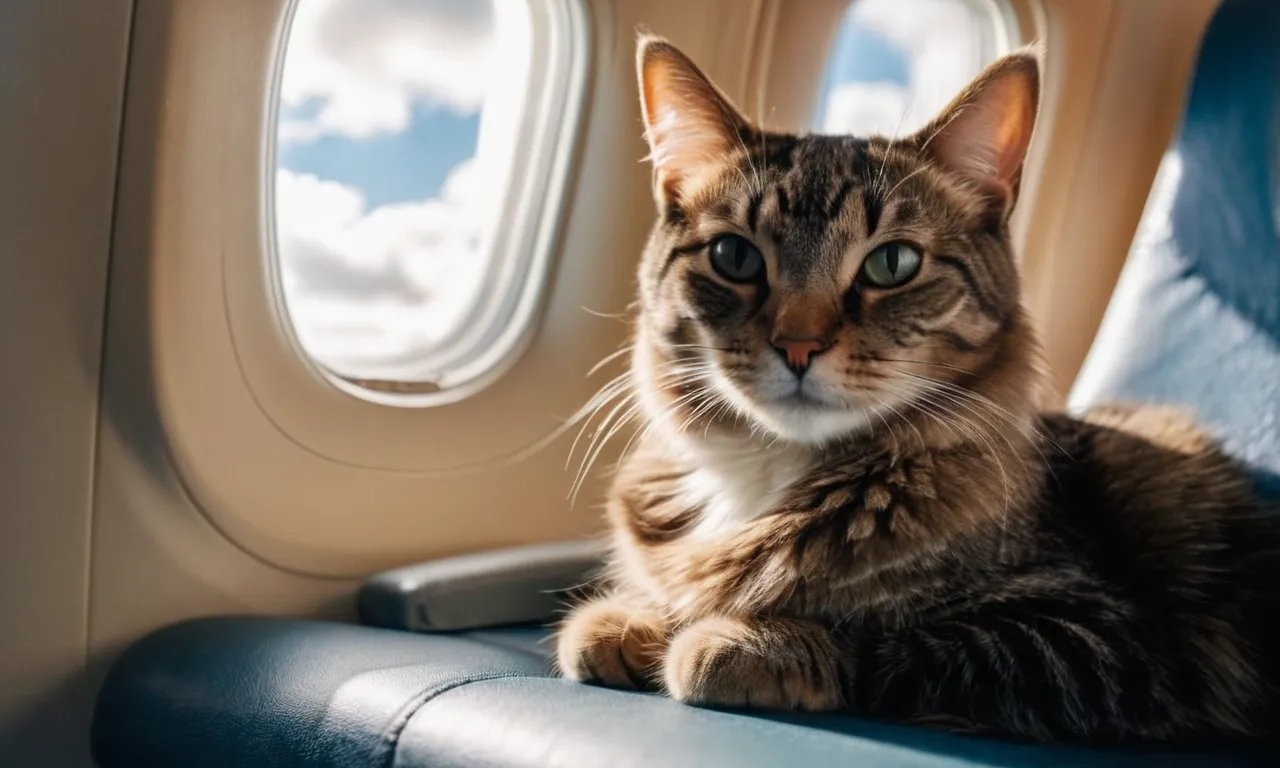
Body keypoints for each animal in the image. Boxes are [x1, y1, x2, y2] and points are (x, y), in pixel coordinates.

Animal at [555, 32, 1280, 747]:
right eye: (734, 257)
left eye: (892, 264)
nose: (797, 346)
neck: (763, 476)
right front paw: (628, 619)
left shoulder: (1105, 640)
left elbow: (891, 640)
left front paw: (743, 642)